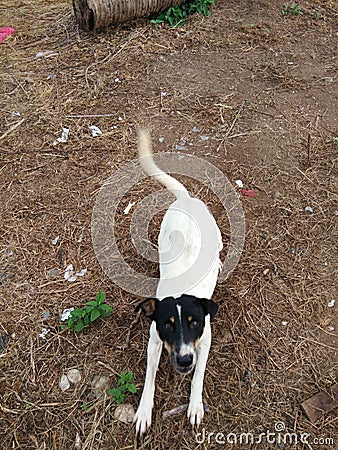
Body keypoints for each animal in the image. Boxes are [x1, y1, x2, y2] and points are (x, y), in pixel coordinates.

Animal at [133, 125, 223, 432]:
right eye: (168, 325)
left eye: (194, 322)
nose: (184, 360)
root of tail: (186, 200)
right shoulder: (154, 342)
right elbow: (148, 380)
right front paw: (144, 411)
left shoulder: (204, 342)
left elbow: (198, 376)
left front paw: (195, 405)